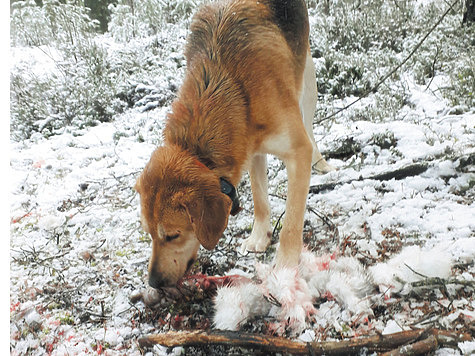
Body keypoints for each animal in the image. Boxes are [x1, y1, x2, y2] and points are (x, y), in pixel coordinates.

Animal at [134, 0, 334, 288]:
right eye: (148, 233)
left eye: (173, 235)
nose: (153, 282)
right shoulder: (251, 150)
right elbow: (260, 199)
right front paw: (259, 237)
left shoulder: (297, 151)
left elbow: (292, 223)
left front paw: (285, 264)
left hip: (308, 82)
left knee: (310, 126)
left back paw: (321, 163)